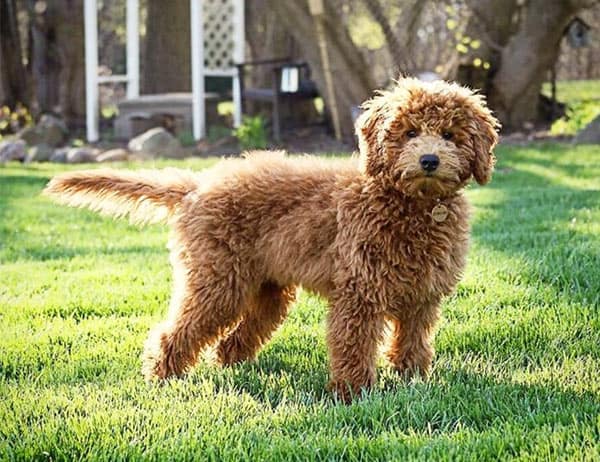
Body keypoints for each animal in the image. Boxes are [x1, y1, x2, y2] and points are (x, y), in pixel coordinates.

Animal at [45, 78, 496, 400]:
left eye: (450, 135)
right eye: (410, 132)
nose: (429, 160)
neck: (409, 204)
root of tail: (196, 185)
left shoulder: (422, 296)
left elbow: (413, 343)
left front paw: (413, 382)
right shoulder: (359, 293)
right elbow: (353, 345)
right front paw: (354, 395)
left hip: (265, 287)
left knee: (236, 337)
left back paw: (229, 365)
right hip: (217, 281)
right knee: (176, 330)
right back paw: (163, 375)